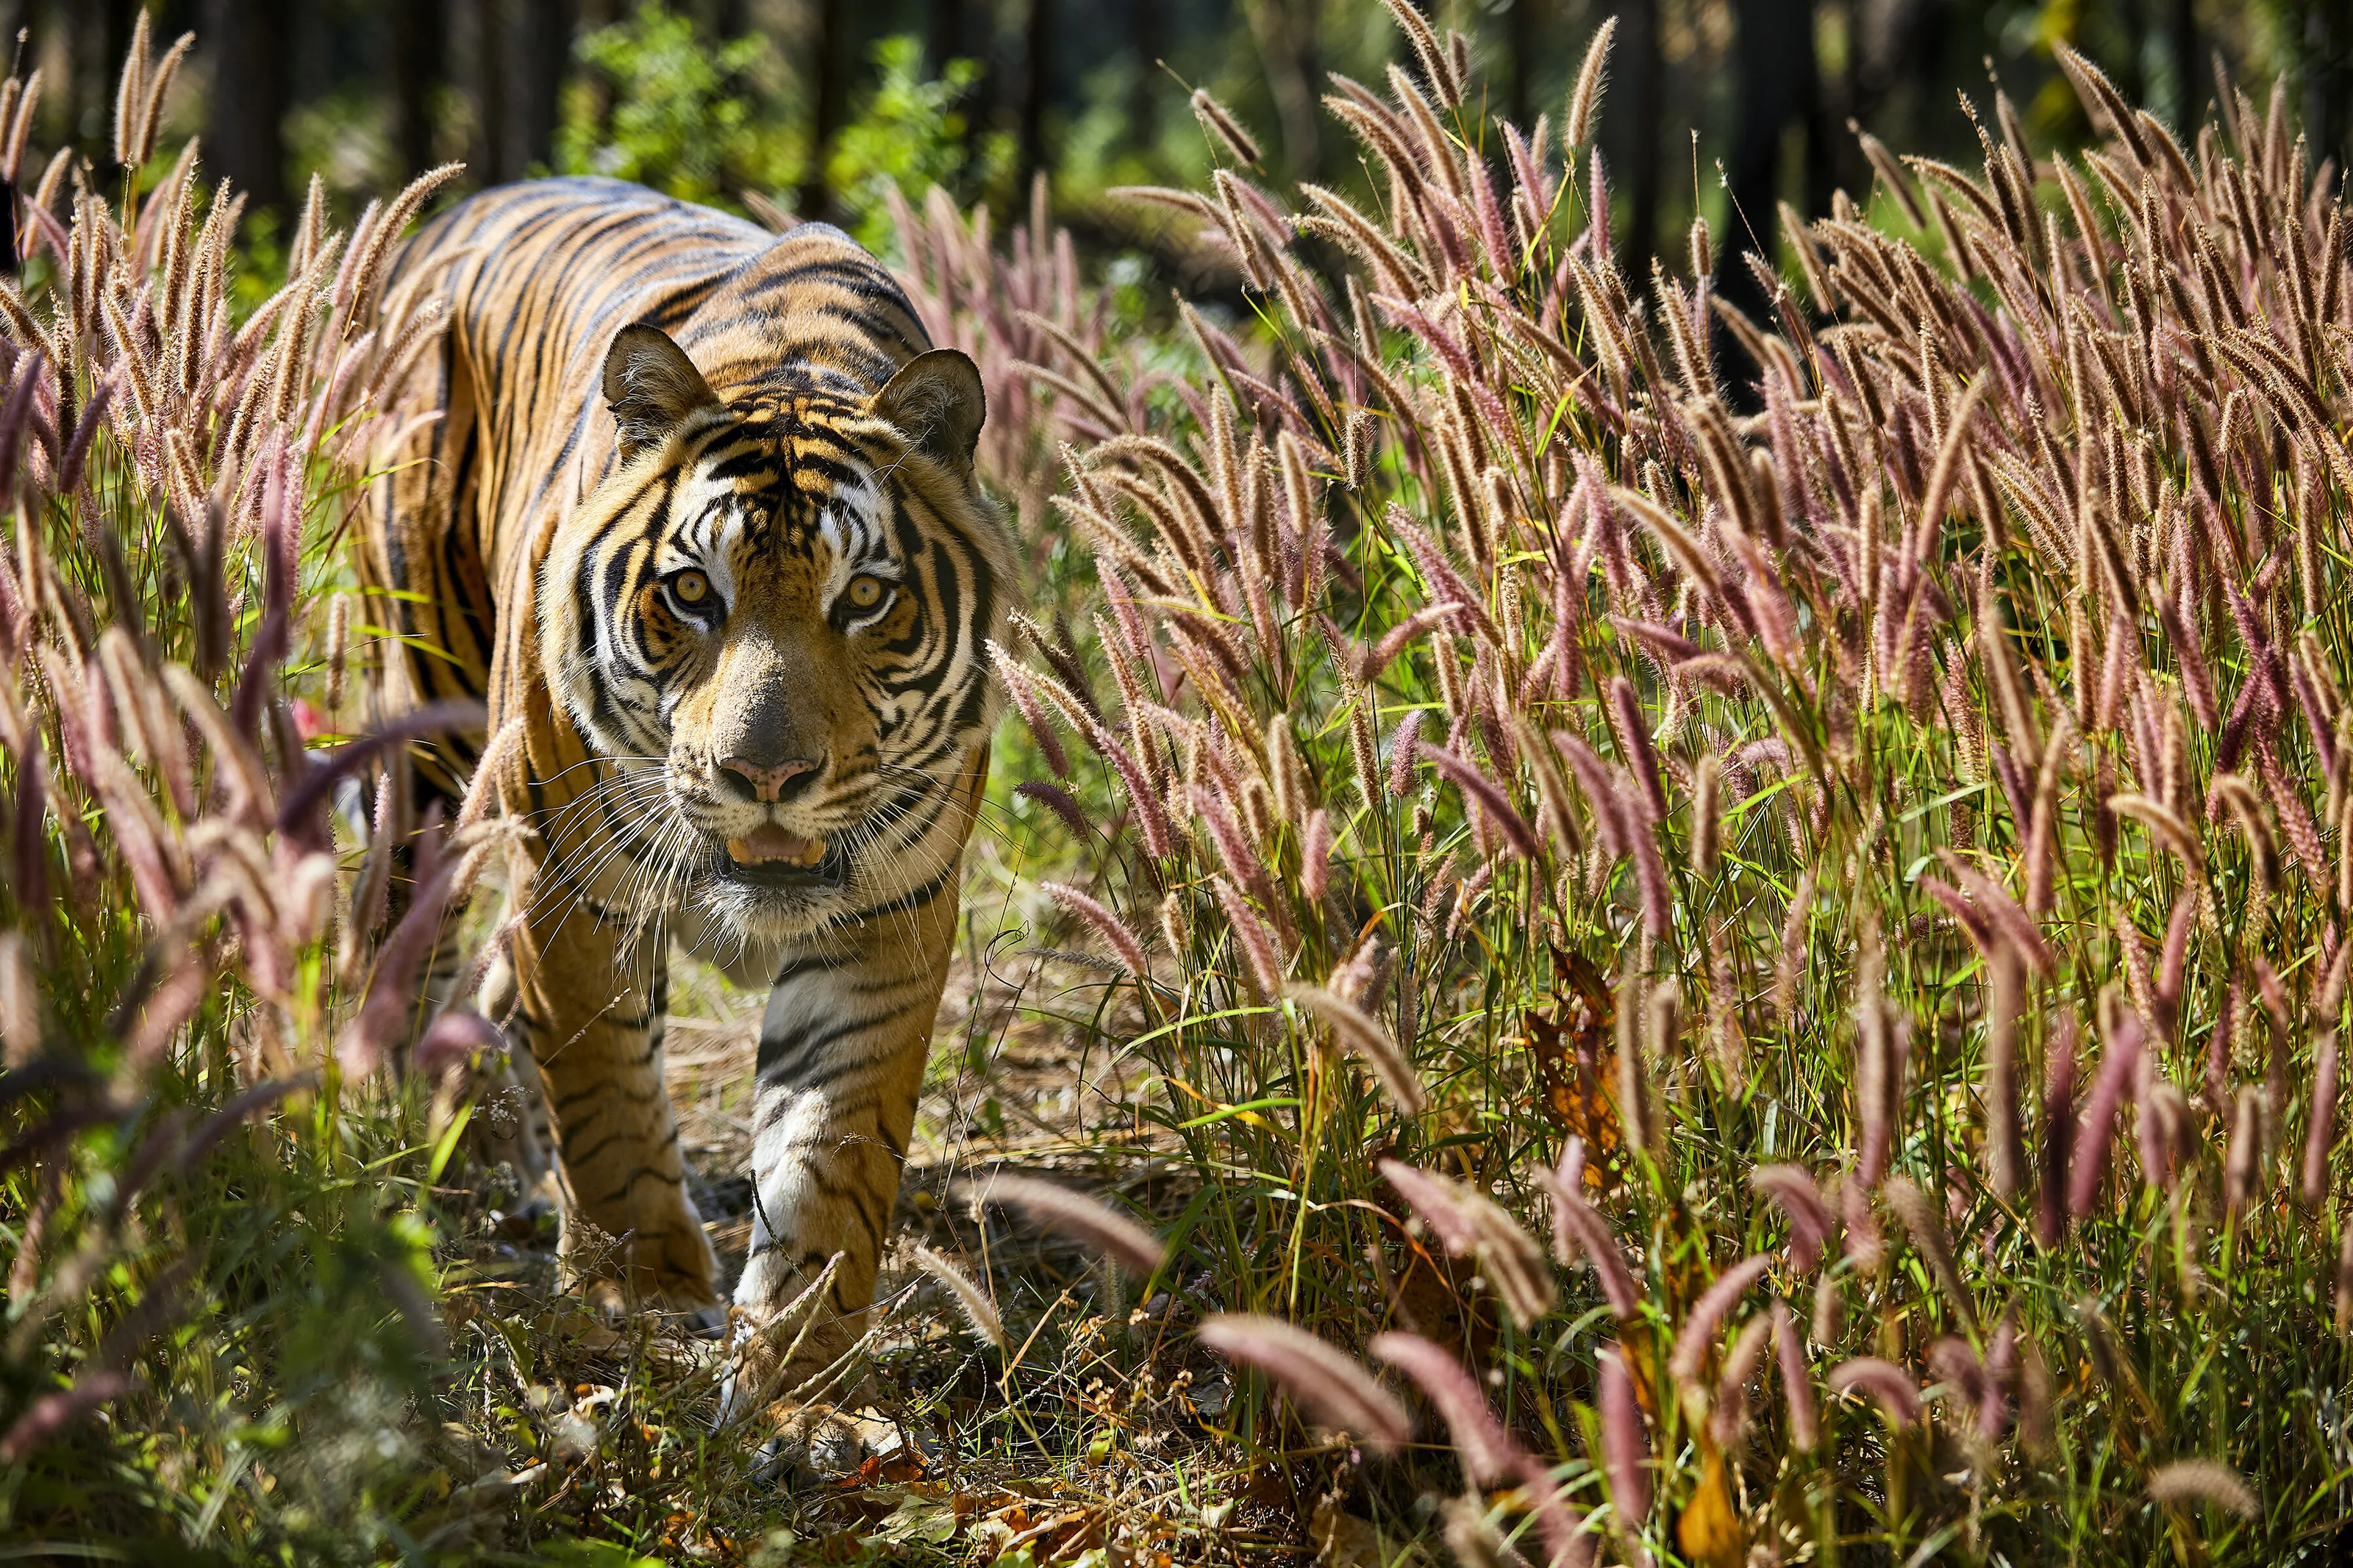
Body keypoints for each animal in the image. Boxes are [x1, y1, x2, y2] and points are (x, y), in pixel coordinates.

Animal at [355, 177, 1011, 1472]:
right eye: (692, 593)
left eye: (865, 597)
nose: (768, 772)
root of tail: (448, 214)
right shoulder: (575, 887)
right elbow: (607, 1102)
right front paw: (642, 1299)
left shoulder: (889, 924)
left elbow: (831, 1164)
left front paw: (800, 1390)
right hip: (427, 735)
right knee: (401, 931)